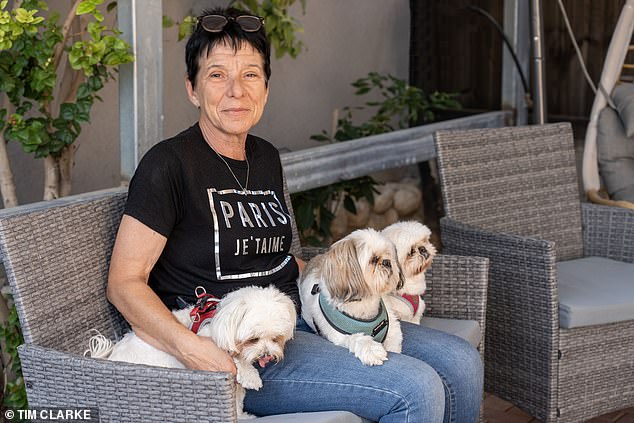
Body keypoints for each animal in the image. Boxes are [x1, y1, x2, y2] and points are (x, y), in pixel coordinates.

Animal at [85, 284, 296, 420]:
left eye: (276, 338)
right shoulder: (208, 345)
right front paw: (251, 375)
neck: (220, 319)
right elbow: (235, 361)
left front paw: (243, 416)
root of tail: (112, 357)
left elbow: (236, 402)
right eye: (253, 339)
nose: (266, 355)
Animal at [298, 229, 402, 368]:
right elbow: (356, 338)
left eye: (388, 255)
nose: (387, 262)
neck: (364, 302)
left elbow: (394, 341)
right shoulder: (340, 336)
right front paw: (372, 350)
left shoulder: (392, 328)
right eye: (373, 260)